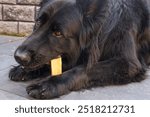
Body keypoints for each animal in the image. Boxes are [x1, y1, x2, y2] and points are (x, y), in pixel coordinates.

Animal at [9, 0, 149, 99]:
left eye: (58, 33)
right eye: (38, 22)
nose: (19, 57)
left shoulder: (128, 63)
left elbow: (83, 68)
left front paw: (48, 84)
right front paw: (23, 70)